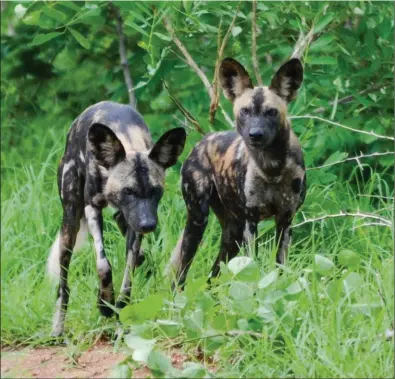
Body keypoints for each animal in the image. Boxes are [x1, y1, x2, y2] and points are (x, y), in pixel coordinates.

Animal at [46, 101, 187, 336]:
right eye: (128, 191)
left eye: (156, 191)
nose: (148, 224)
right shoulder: (92, 208)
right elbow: (104, 266)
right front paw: (104, 303)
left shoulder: (134, 224)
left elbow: (128, 277)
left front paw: (119, 313)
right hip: (70, 223)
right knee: (63, 282)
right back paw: (58, 326)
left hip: (124, 217)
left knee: (135, 249)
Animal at [167, 57, 306, 288]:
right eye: (245, 111)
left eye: (271, 112)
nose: (255, 134)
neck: (272, 168)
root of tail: (202, 142)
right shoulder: (252, 221)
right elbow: (254, 265)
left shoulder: (285, 220)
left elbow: (281, 267)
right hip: (198, 221)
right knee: (181, 271)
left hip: (232, 234)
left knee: (213, 275)